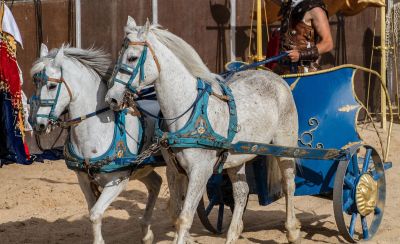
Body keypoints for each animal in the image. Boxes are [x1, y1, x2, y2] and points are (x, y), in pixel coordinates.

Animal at [30, 43, 162, 244]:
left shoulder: (118, 180)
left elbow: (95, 214)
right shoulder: (83, 180)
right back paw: (146, 233)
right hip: (143, 168)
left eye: (52, 85)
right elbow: (92, 211)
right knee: (156, 184)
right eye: (35, 83)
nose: (38, 124)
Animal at [106, 17, 300, 244]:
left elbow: (184, 217)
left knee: (289, 184)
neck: (186, 109)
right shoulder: (174, 170)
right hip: (236, 157)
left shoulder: (200, 171)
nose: (111, 98)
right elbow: (175, 212)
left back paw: (292, 230)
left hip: (285, 146)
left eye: (132, 57)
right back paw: (232, 235)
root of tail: (277, 78)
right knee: (241, 192)